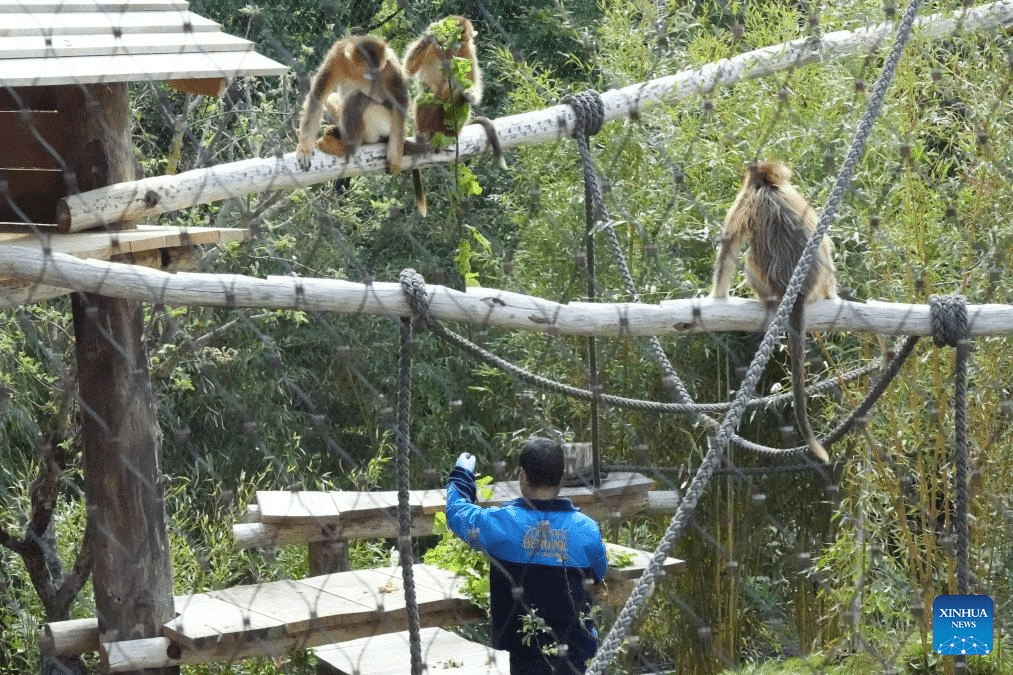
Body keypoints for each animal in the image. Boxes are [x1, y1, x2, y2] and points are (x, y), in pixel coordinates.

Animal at [295, 35, 408, 174]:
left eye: (377, 69)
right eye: (369, 69)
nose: (374, 75)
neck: (356, 72)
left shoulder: (389, 65)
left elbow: (400, 102)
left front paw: (395, 161)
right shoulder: (336, 54)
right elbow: (318, 96)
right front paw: (304, 149)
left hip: (385, 121)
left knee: (356, 98)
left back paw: (348, 147)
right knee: (333, 98)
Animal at [403, 16, 505, 216]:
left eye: (461, 39)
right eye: (454, 35)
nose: (455, 44)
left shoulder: (468, 53)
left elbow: (472, 88)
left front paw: (468, 94)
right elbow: (409, 68)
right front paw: (430, 34)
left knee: (455, 96)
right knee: (429, 93)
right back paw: (424, 134)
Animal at [710, 160, 837, 464]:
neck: (769, 186)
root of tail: (797, 292)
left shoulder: (746, 198)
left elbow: (729, 246)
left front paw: (716, 296)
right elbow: (825, 242)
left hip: (762, 280)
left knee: (746, 259)